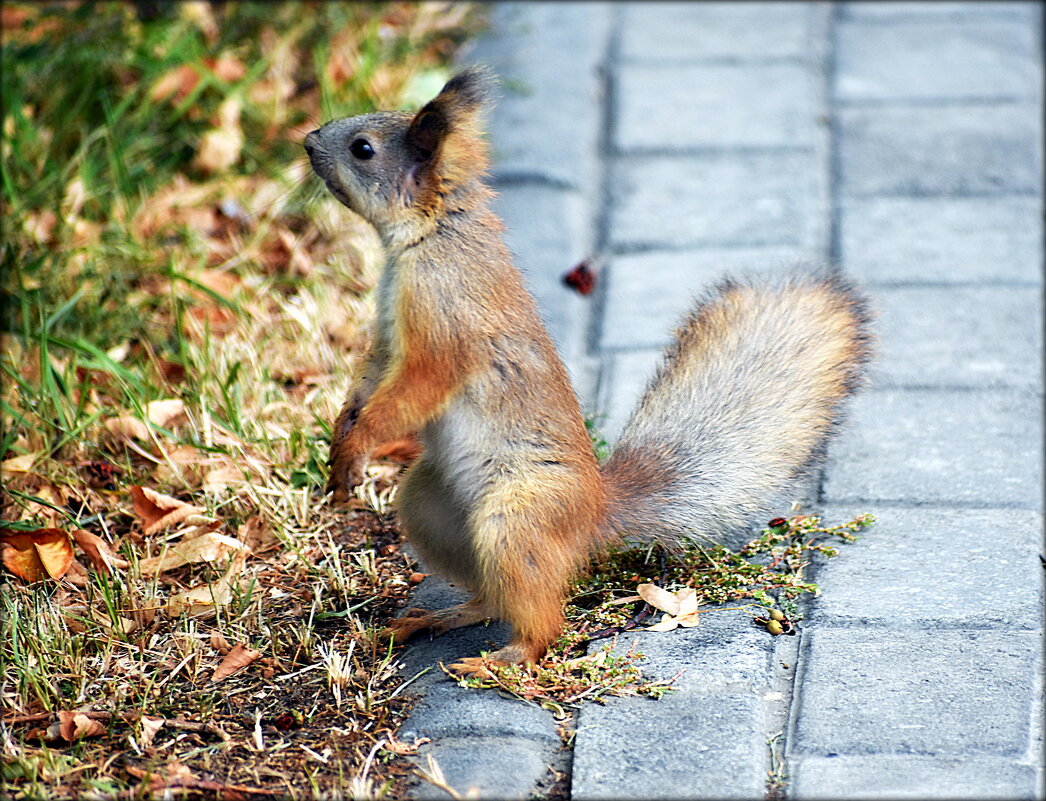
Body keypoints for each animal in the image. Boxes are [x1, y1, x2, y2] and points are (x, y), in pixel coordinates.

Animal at [305, 65, 874, 673]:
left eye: (363, 149)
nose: (309, 141)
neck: (433, 236)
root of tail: (591, 515)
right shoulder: (387, 340)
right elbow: (368, 383)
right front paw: (340, 446)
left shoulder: (444, 330)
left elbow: (409, 393)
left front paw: (358, 449)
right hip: (431, 509)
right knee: (490, 598)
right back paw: (436, 618)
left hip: (515, 520)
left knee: (541, 623)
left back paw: (501, 659)